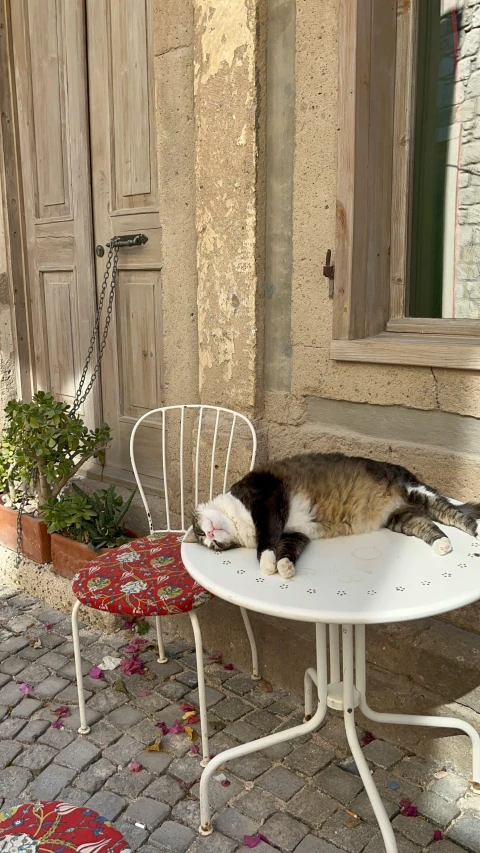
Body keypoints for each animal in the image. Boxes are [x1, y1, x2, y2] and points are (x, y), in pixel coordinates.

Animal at [184, 452, 480, 580]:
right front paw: (285, 567)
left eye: (199, 532)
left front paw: (268, 563)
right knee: (428, 524)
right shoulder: (296, 533)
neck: (240, 524)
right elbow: (287, 550)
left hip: (416, 491)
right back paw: (443, 545)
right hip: (401, 518)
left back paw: (475, 531)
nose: (210, 536)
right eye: (214, 548)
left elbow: (267, 539)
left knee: (454, 513)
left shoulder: (267, 498)